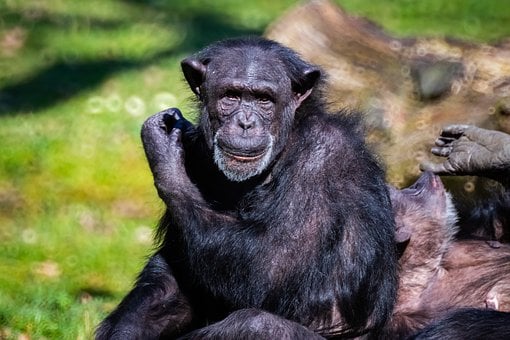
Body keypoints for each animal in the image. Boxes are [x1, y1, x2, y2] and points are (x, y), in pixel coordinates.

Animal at [95, 36, 398, 338]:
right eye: (231, 96)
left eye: (264, 99)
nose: (245, 123)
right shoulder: (197, 150)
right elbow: (178, 275)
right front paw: (126, 329)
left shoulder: (324, 156)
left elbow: (271, 265)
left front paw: (164, 152)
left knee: (258, 325)